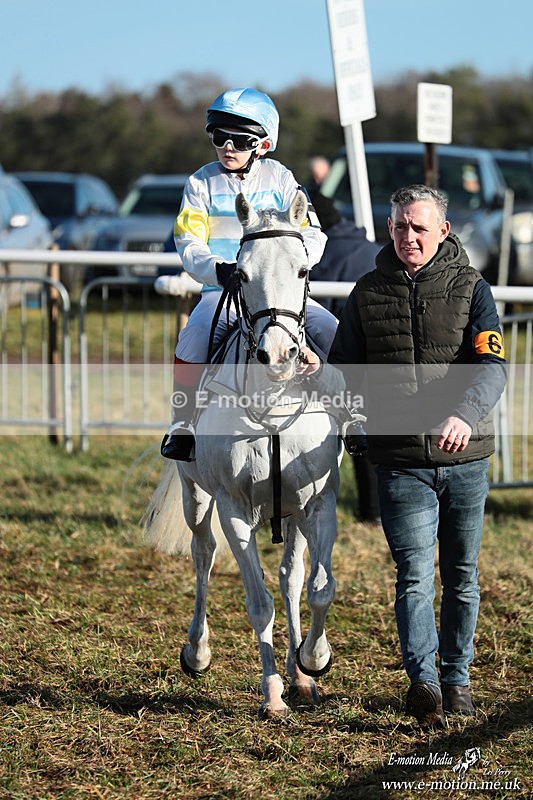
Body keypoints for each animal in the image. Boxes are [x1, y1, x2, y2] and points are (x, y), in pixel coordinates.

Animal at [144, 190, 342, 719]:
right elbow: (259, 602)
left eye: (302, 270)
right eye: (243, 273)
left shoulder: (318, 503)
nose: (279, 355)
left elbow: (317, 587)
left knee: (292, 577)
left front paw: (312, 661)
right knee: (203, 554)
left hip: (291, 514)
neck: (271, 404)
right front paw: (272, 694)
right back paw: (197, 651)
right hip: (196, 495)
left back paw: (300, 675)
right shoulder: (234, 509)